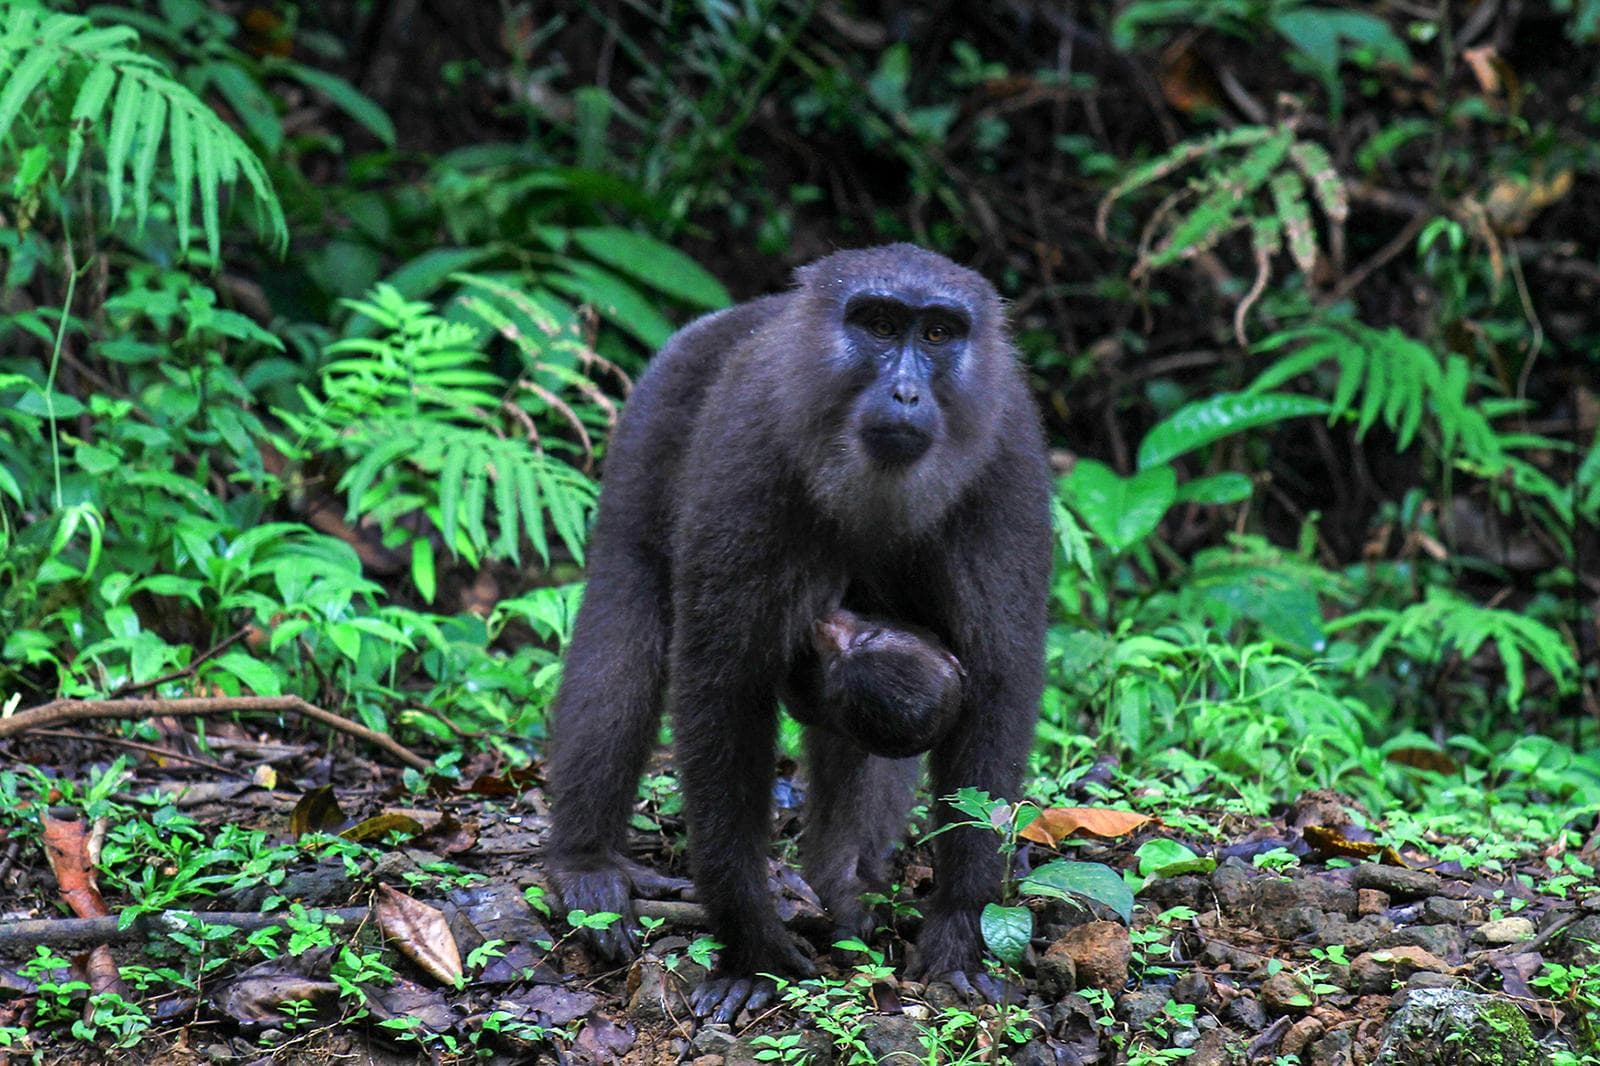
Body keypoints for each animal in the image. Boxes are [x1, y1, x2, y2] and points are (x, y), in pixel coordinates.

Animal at [544, 244, 1051, 1022]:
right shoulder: (751, 448)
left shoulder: (1008, 460)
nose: (907, 393)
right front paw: (751, 939)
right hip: (659, 402)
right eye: (878, 324)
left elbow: (995, 684)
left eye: (939, 333)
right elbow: (723, 685)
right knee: (626, 621)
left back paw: (845, 883)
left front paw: (960, 925)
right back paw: (588, 862)